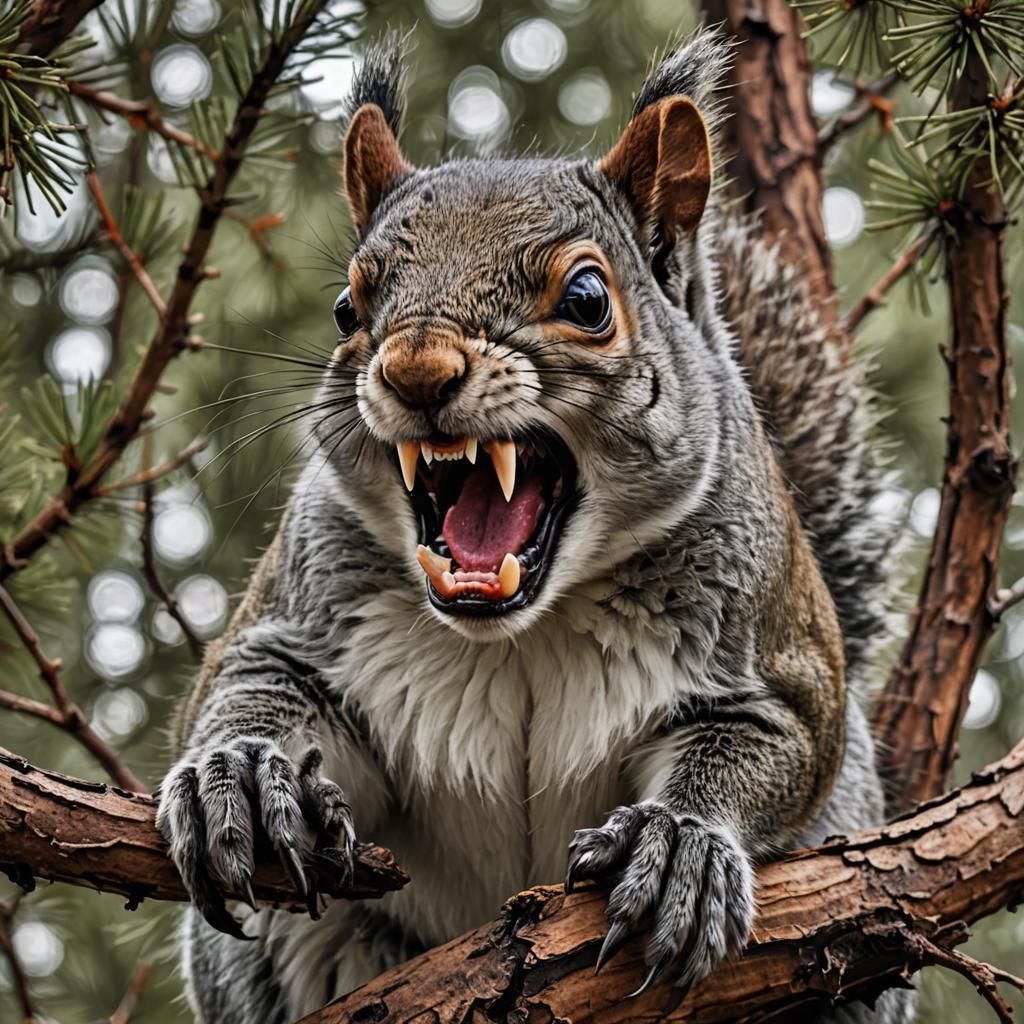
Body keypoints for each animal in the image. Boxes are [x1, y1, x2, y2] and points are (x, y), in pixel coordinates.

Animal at [157, 29, 912, 1024]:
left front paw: (679, 840)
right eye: (348, 309)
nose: (416, 369)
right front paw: (239, 775)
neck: (519, 630)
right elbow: (250, 684)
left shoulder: (778, 660)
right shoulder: (300, 616)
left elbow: (771, 745)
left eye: (588, 300)